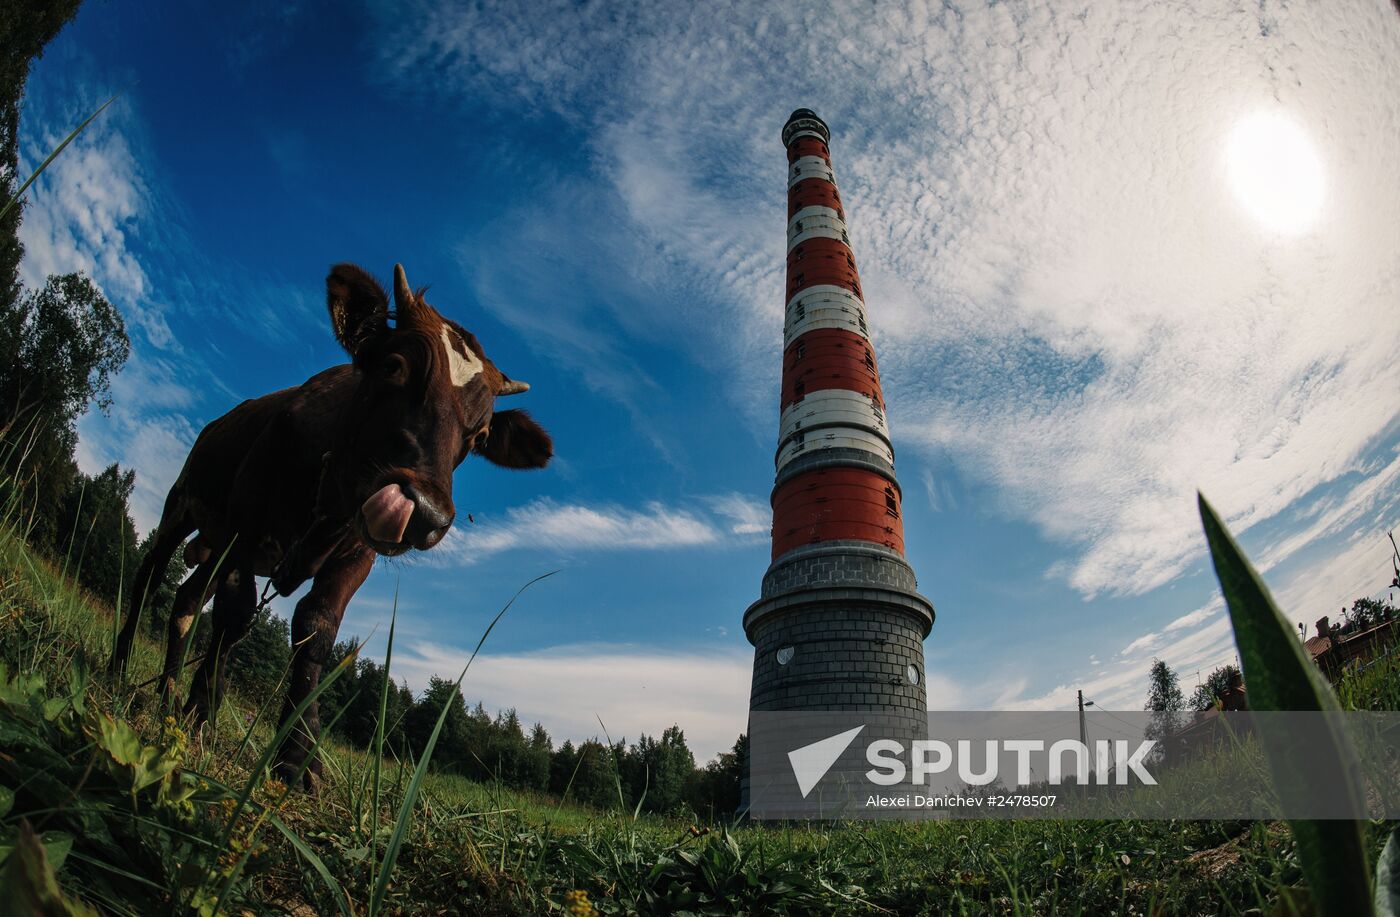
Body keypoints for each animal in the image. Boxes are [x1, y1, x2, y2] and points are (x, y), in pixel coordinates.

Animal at [110, 261, 551, 784]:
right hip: (181, 506)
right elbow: (235, 613)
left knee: (186, 599)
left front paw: (299, 754)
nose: (425, 510)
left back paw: (167, 692)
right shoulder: (245, 522)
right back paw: (122, 670)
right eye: (394, 366)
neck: (328, 495)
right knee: (151, 577)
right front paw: (203, 710)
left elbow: (316, 629)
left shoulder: (356, 554)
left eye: (480, 434)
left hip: (214, 545)